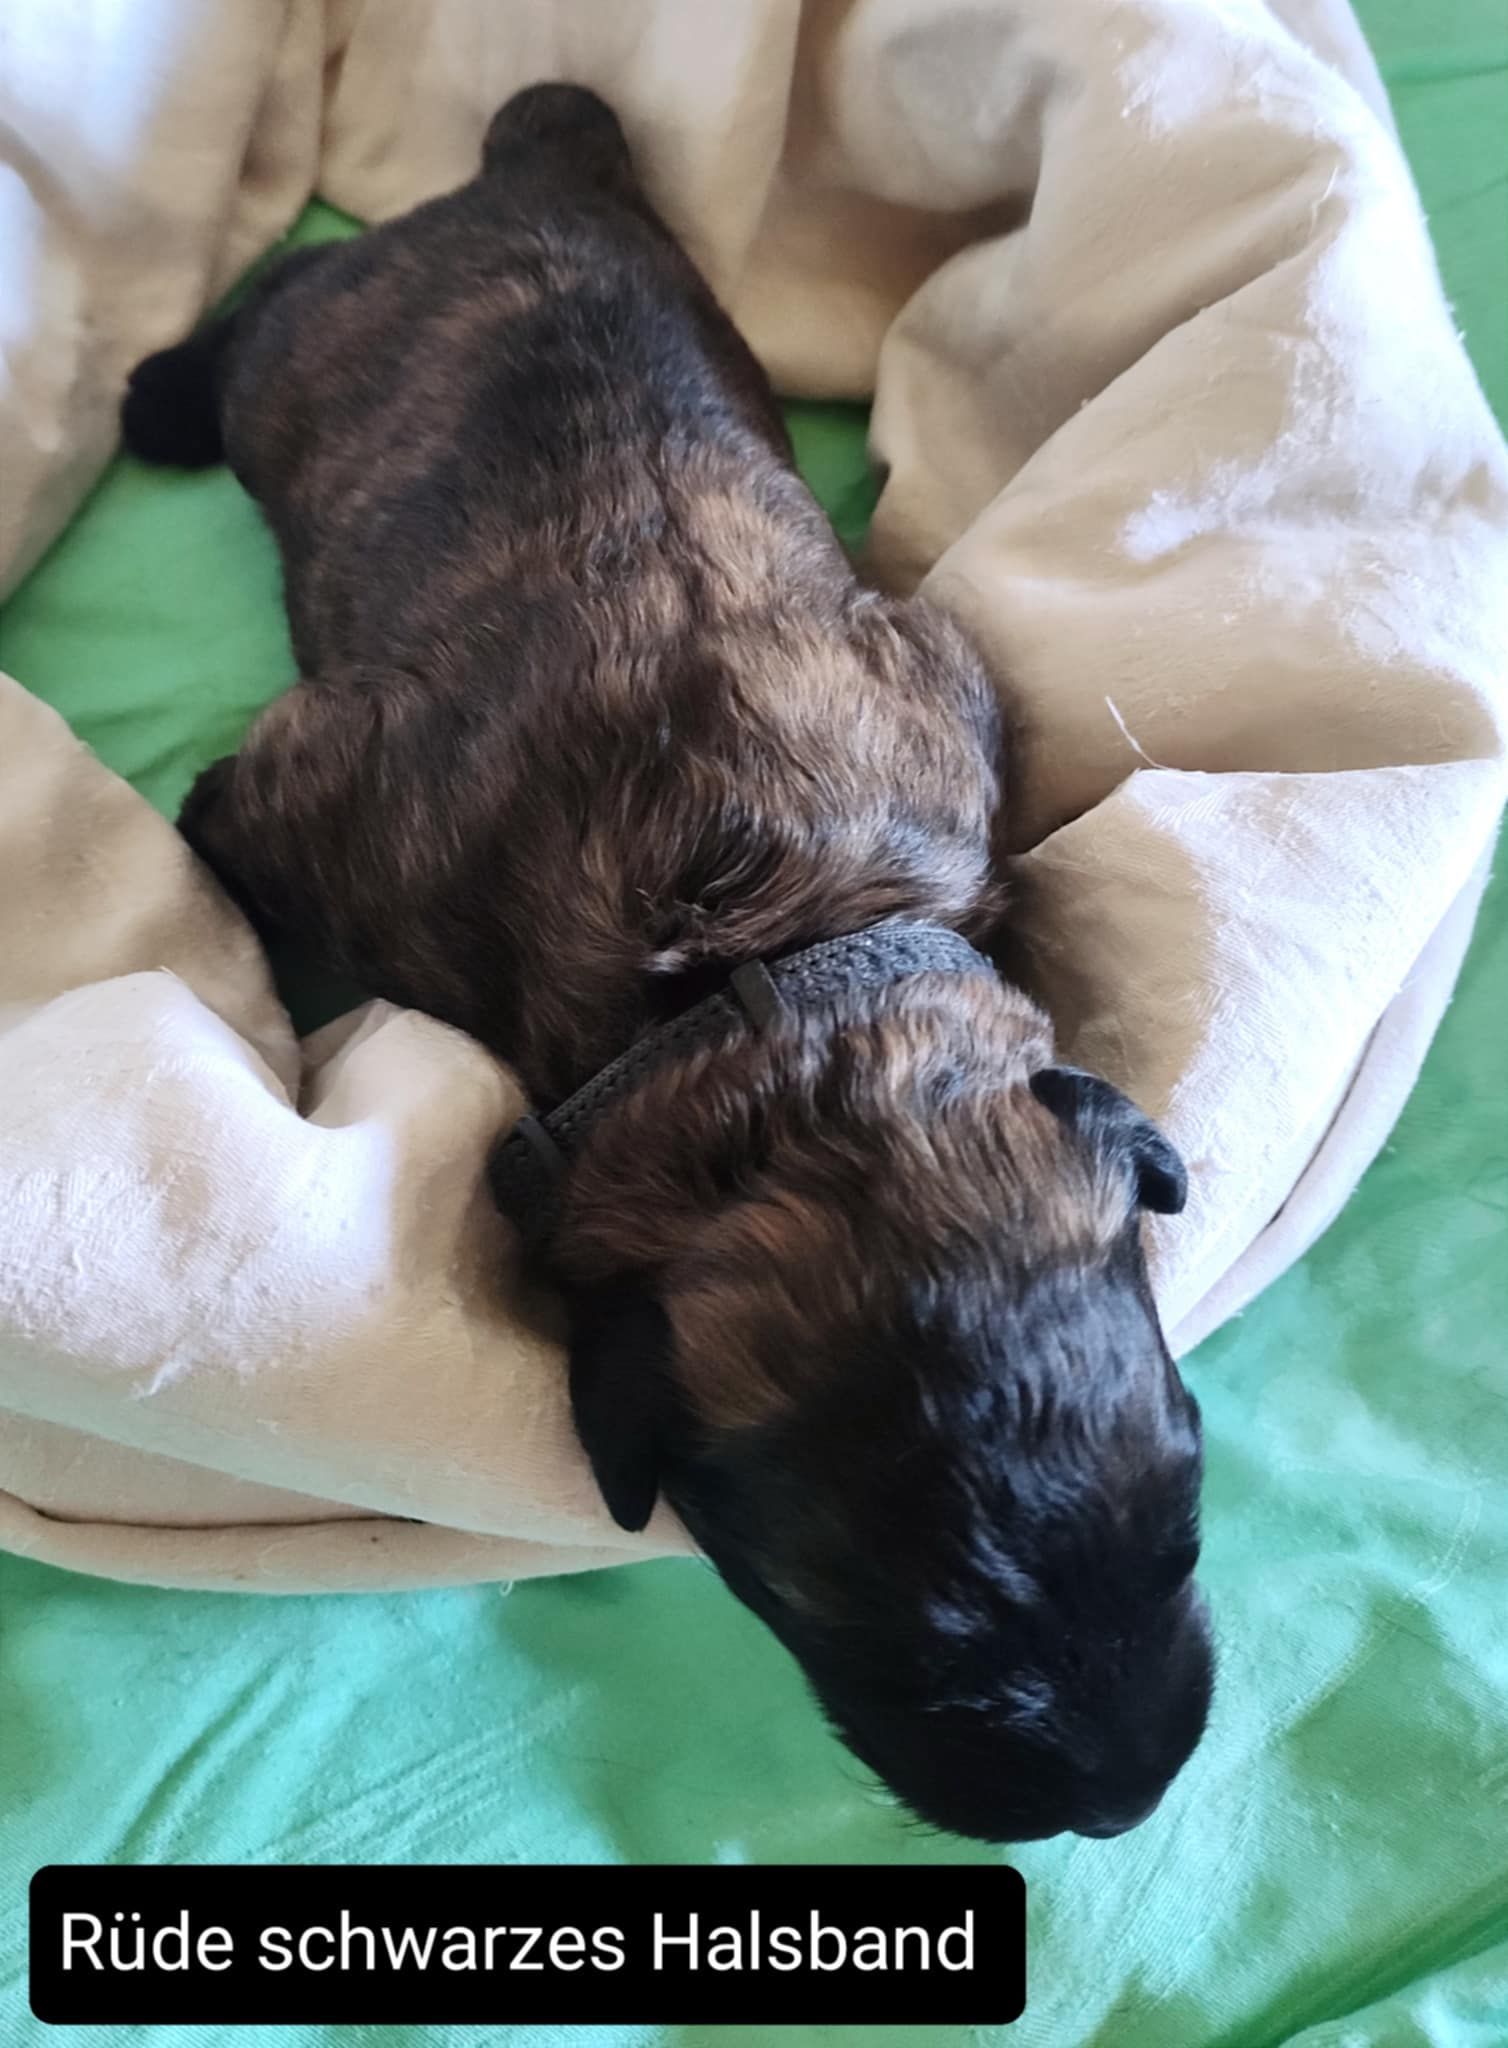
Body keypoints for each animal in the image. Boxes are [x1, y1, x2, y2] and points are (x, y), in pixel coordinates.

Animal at [122, 82, 1213, 1843]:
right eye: (916, 1642)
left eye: (1185, 1512)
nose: (1121, 1803)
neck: (763, 958)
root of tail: (530, 162)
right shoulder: (299, 805)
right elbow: (244, 879)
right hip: (308, 337)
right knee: (266, 307)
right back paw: (154, 393)